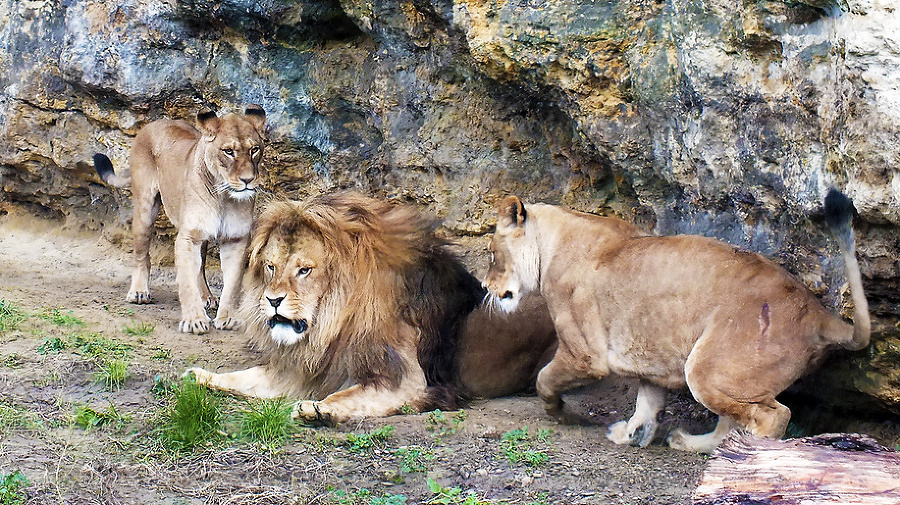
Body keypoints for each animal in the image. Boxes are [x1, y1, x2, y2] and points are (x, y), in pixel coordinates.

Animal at [98, 106, 268, 332]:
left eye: (254, 149)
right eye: (228, 151)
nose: (248, 180)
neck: (223, 197)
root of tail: (155, 123)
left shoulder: (236, 239)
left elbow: (232, 284)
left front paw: (228, 318)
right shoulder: (187, 238)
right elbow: (186, 282)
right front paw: (194, 320)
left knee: (200, 267)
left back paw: (207, 297)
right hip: (145, 208)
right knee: (142, 254)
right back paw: (139, 292)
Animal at [187, 192, 560, 422]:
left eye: (304, 269)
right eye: (270, 267)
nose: (272, 300)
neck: (331, 325)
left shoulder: (408, 380)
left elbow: (349, 395)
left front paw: (318, 410)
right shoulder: (306, 371)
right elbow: (243, 377)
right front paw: (199, 376)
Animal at [486, 189, 872, 452]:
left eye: (491, 254)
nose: (485, 286)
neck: (551, 244)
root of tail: (820, 315)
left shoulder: (584, 355)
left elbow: (544, 379)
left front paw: (560, 413)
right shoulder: (647, 357)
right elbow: (647, 403)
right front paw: (632, 434)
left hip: (707, 369)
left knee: (772, 417)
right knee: (732, 423)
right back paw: (690, 442)